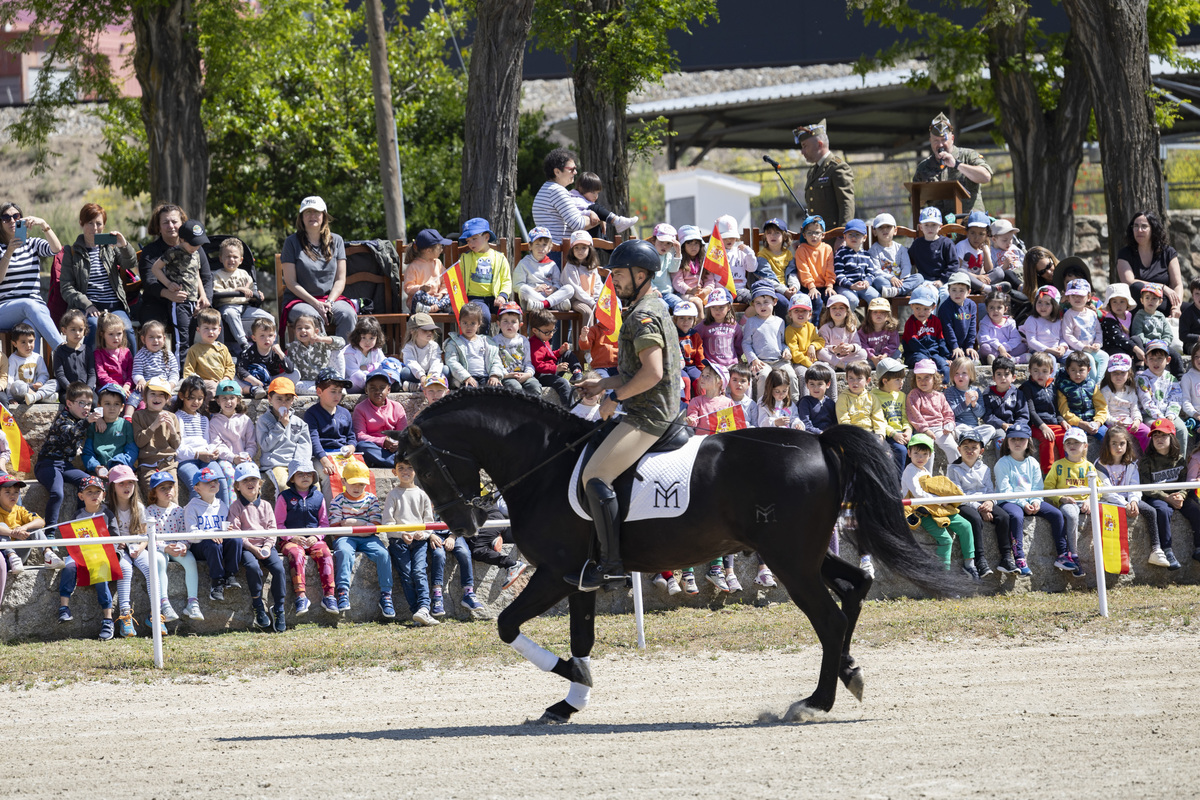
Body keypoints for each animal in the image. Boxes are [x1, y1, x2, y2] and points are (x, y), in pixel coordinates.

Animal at [403, 388, 964, 724]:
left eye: (425, 468)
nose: (464, 526)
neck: (544, 463)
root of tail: (822, 443)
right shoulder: (579, 577)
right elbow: (581, 638)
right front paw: (570, 702)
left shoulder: (556, 573)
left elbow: (509, 626)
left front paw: (574, 682)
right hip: (799, 555)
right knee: (855, 589)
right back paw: (849, 673)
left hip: (790, 562)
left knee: (829, 617)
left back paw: (814, 703)